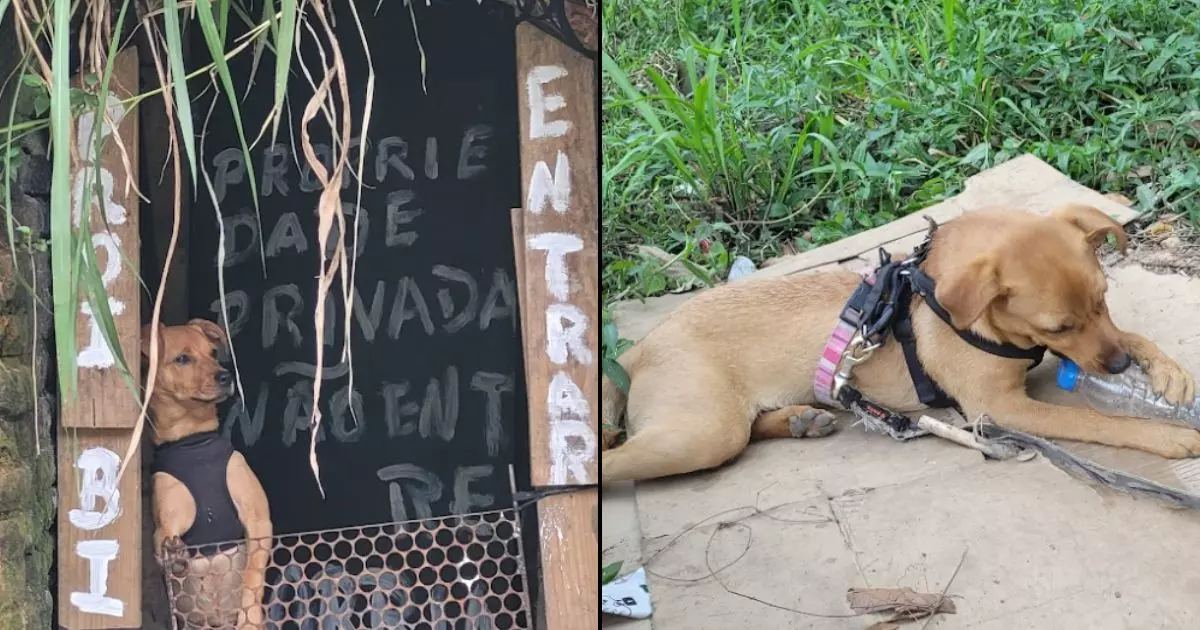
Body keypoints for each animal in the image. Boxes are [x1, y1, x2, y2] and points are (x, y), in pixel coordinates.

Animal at [144, 321, 271, 624]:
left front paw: (249, 620)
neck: (193, 443)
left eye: (213, 353)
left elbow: (253, 576)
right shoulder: (166, 526)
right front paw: (176, 558)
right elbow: (163, 548)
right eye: (182, 359)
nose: (225, 376)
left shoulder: (259, 520)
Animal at [604, 204, 1200, 484]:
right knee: (615, 460)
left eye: (1104, 298)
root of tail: (639, 347)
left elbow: (1130, 334)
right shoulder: (998, 407)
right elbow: (1096, 420)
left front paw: (1165, 371)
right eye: (1056, 327)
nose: (1118, 367)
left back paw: (802, 420)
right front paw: (1163, 434)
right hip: (702, 431)